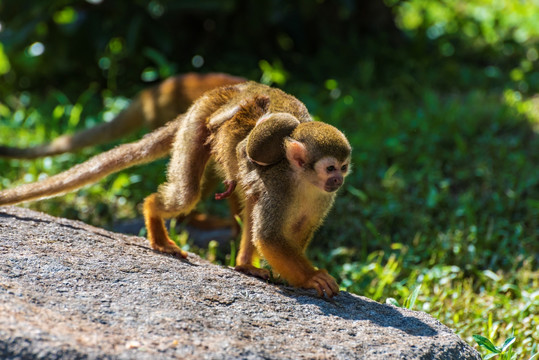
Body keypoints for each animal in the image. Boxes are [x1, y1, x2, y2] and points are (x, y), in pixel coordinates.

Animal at [0, 81, 352, 298]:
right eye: (330, 168)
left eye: (343, 167)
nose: (338, 180)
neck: (302, 180)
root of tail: (208, 99)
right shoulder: (278, 185)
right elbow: (269, 237)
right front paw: (311, 277)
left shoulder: (323, 197)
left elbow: (296, 229)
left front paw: (303, 273)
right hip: (197, 128)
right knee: (186, 194)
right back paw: (155, 220)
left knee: (248, 199)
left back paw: (243, 265)